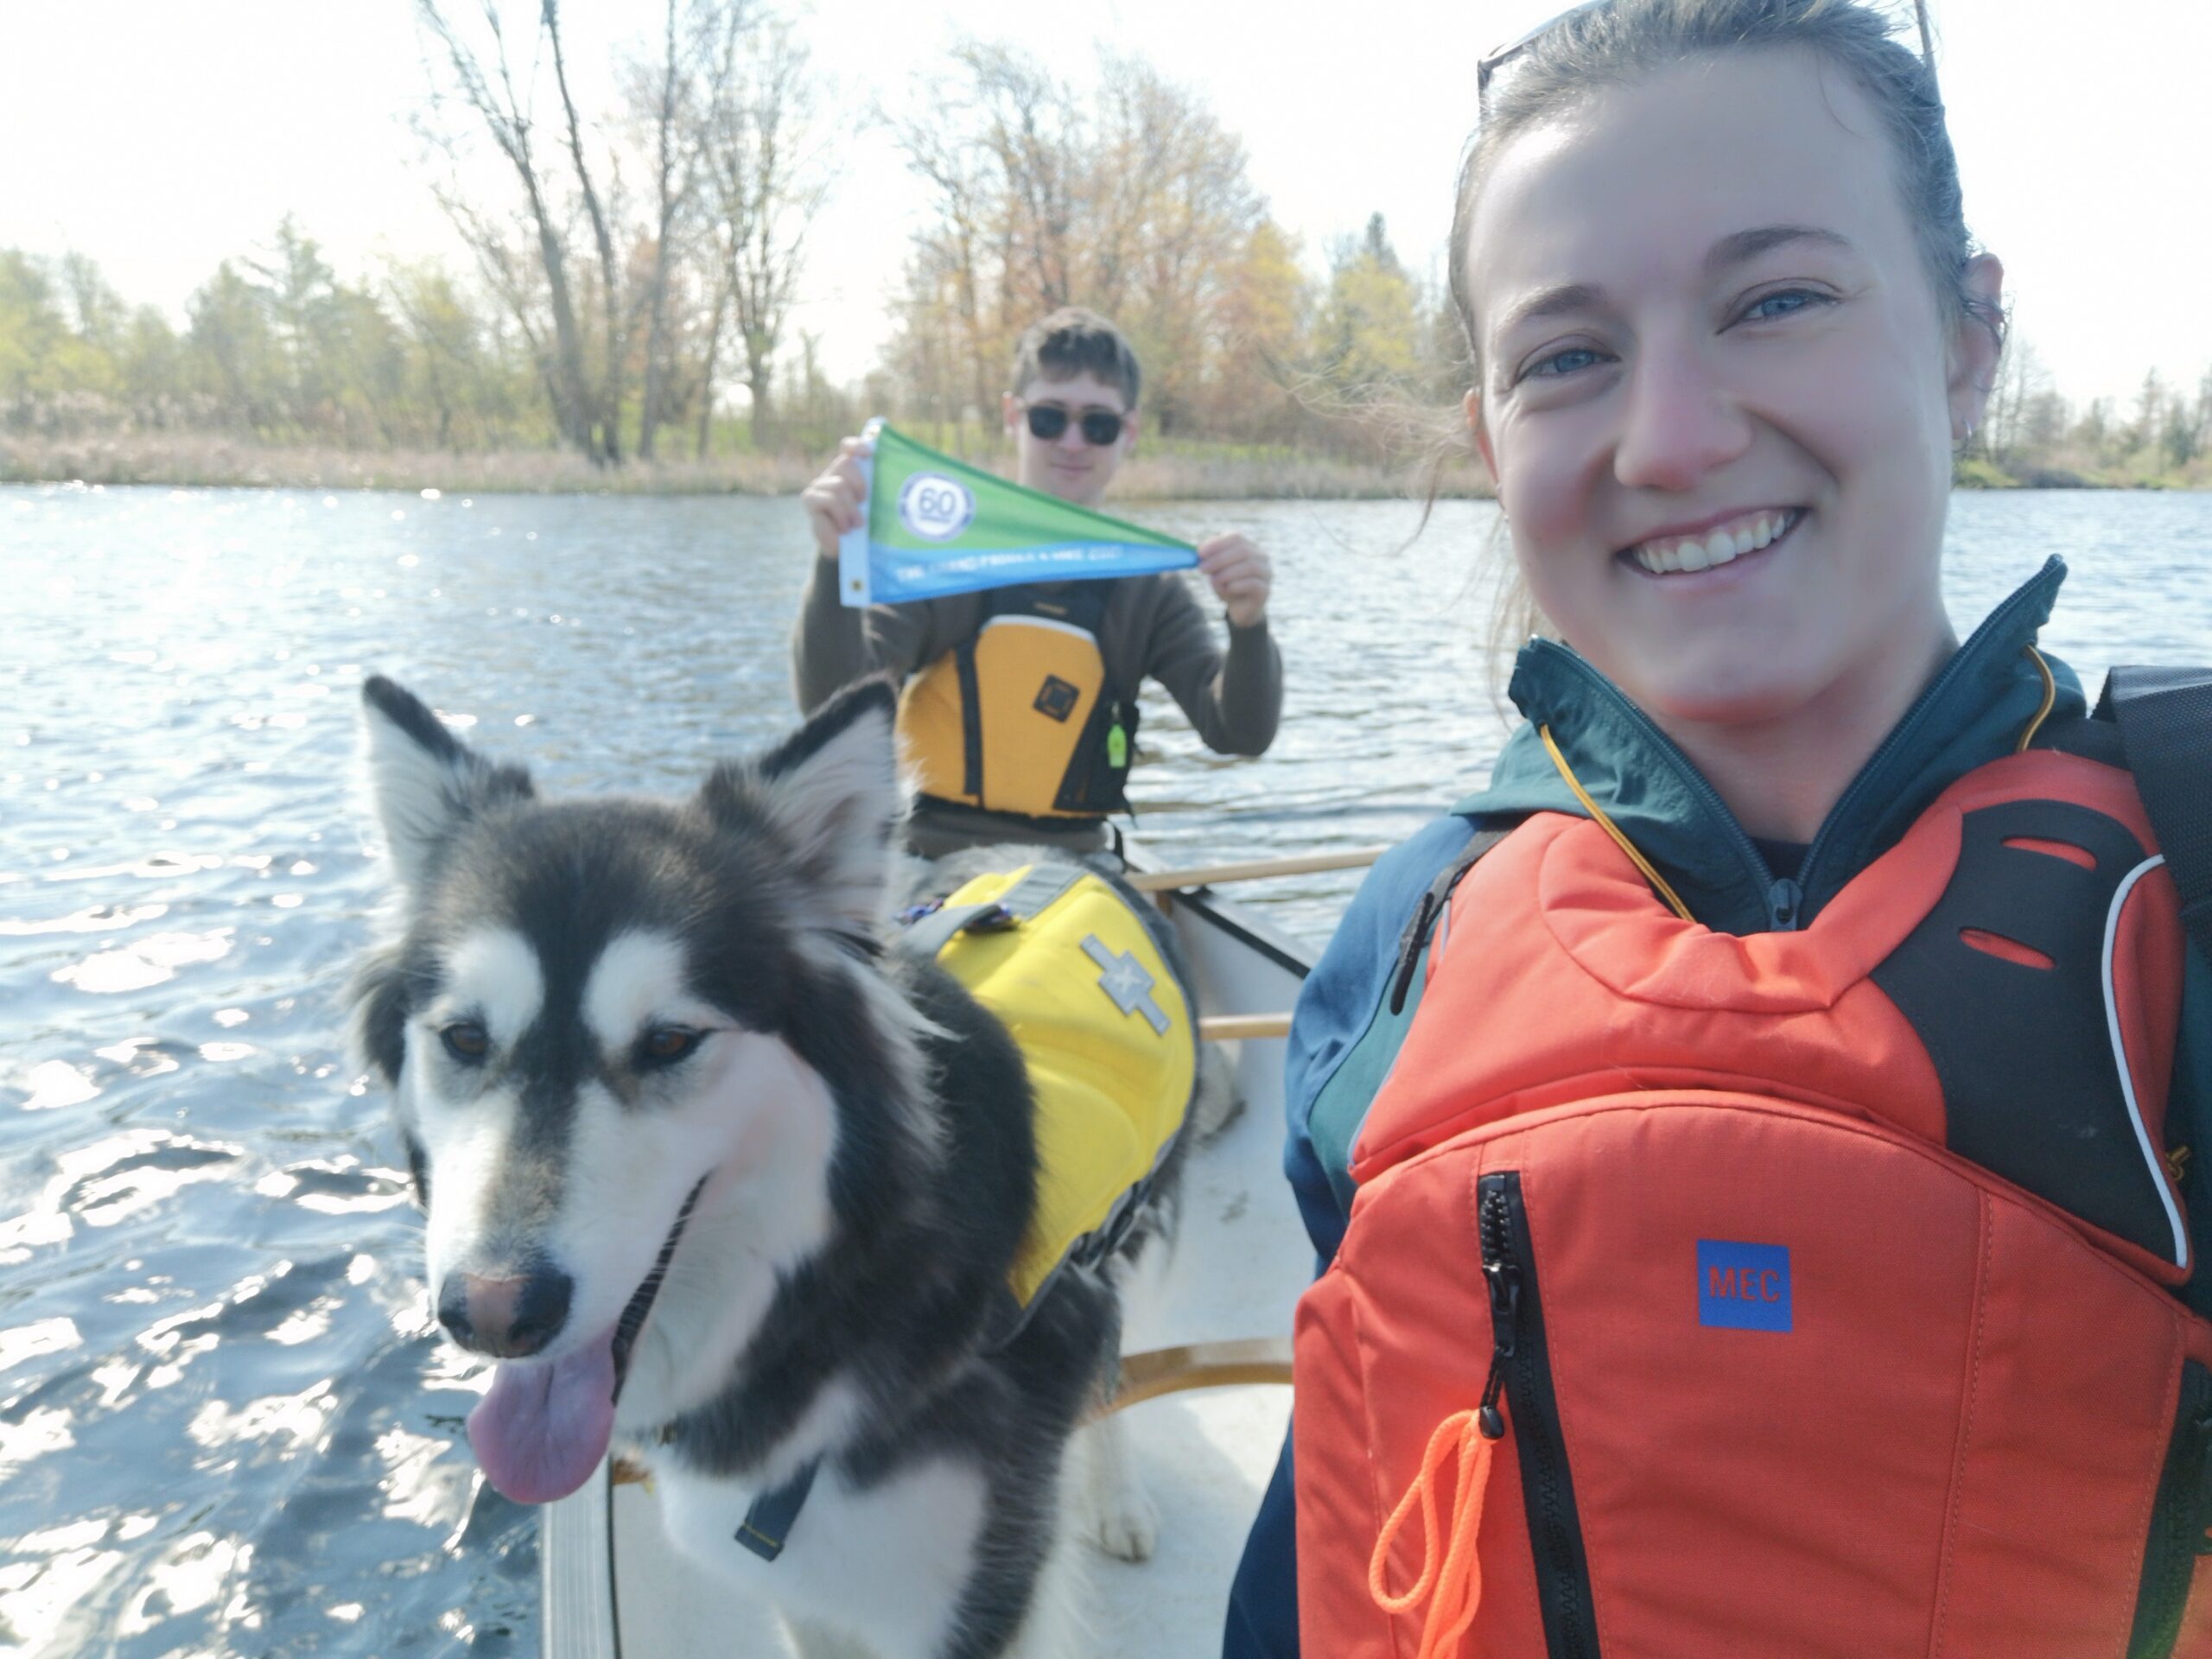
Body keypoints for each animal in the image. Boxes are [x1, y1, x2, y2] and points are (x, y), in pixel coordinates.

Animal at [347, 674, 1215, 1659]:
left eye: (670, 1041)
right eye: (463, 1038)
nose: (493, 1315)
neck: (835, 1290)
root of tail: (1051, 851)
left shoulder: (976, 1601)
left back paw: (1117, 1499)